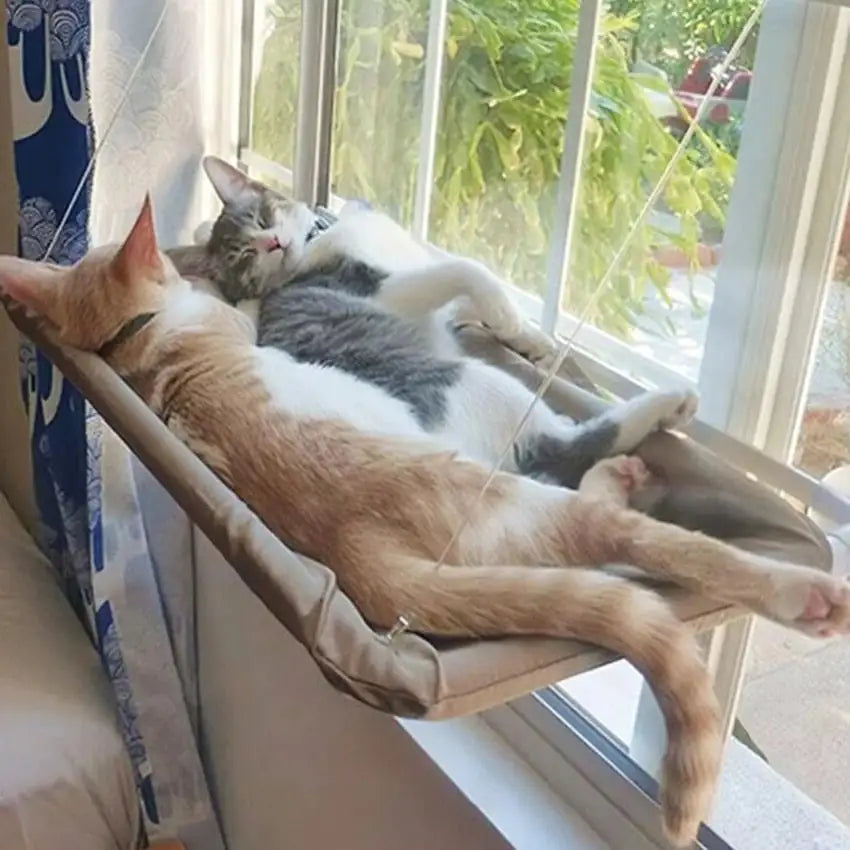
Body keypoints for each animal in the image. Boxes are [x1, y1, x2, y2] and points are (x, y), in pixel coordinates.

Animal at [169, 158, 700, 486]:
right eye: (242, 258)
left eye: (261, 218)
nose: (273, 244)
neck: (322, 236)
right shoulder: (385, 290)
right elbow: (465, 269)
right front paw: (509, 316)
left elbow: (468, 303)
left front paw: (530, 339)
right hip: (475, 385)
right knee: (570, 443)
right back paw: (668, 404)